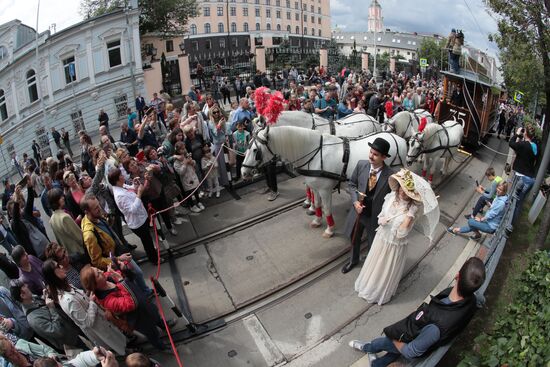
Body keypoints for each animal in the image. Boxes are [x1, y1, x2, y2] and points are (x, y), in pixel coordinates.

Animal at [243, 126, 410, 239]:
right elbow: (317, 204)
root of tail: (399, 139)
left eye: (255, 151)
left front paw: (330, 229)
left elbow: (327, 209)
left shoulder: (325, 190)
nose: (243, 172)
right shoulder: (316, 188)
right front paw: (317, 220)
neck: (315, 154)